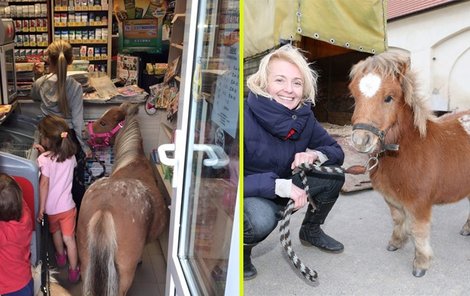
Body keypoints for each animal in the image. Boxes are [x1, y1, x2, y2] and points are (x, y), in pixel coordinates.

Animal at [75, 102, 167, 294]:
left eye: (103, 122)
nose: (83, 131)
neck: (133, 160)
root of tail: (105, 209)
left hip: (86, 265)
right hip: (124, 274)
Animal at [348, 51, 470, 278]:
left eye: (389, 97)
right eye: (354, 96)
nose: (361, 140)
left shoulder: (419, 204)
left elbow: (419, 231)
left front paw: (421, 263)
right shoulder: (391, 198)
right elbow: (397, 219)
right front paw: (396, 242)